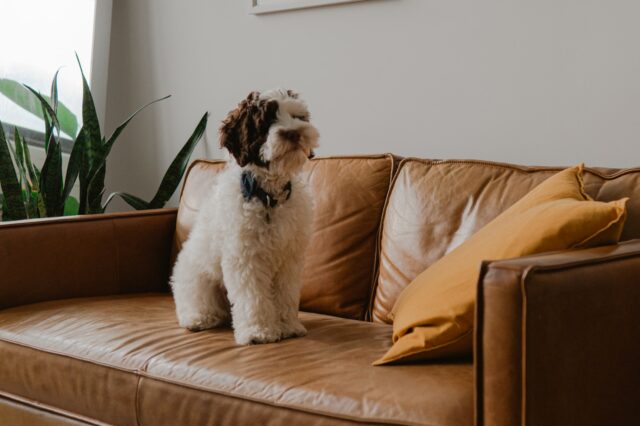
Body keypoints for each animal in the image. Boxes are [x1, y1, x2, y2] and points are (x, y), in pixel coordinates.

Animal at [170, 88, 320, 344]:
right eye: (266, 121)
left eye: (298, 117)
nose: (293, 133)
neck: (268, 197)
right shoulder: (246, 257)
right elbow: (254, 298)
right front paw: (259, 331)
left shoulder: (289, 259)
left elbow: (286, 294)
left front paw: (288, 326)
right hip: (197, 279)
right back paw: (198, 319)